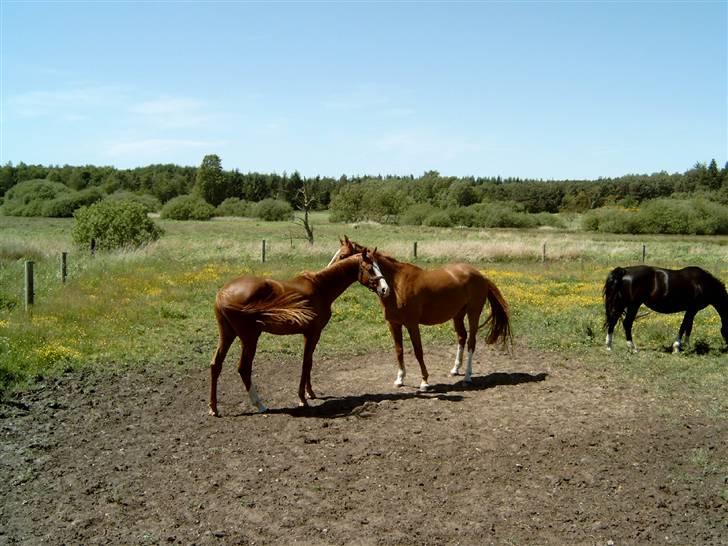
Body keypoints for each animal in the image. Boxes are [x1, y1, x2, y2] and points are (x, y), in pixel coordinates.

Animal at [208, 253, 390, 414]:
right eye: (369, 268)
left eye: (379, 267)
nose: (385, 289)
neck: (320, 287)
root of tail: (222, 293)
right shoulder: (313, 333)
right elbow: (306, 363)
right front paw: (302, 398)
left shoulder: (308, 334)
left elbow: (309, 361)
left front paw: (310, 393)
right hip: (250, 338)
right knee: (244, 369)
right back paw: (260, 405)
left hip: (227, 335)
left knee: (216, 365)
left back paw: (214, 408)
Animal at [332, 236, 512, 388]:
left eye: (343, 256)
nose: (384, 290)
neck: (396, 285)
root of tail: (480, 275)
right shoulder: (394, 324)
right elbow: (399, 351)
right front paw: (400, 379)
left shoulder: (412, 324)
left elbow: (418, 351)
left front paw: (424, 381)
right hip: (458, 315)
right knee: (462, 337)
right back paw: (455, 369)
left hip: (473, 313)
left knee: (471, 342)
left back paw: (467, 376)